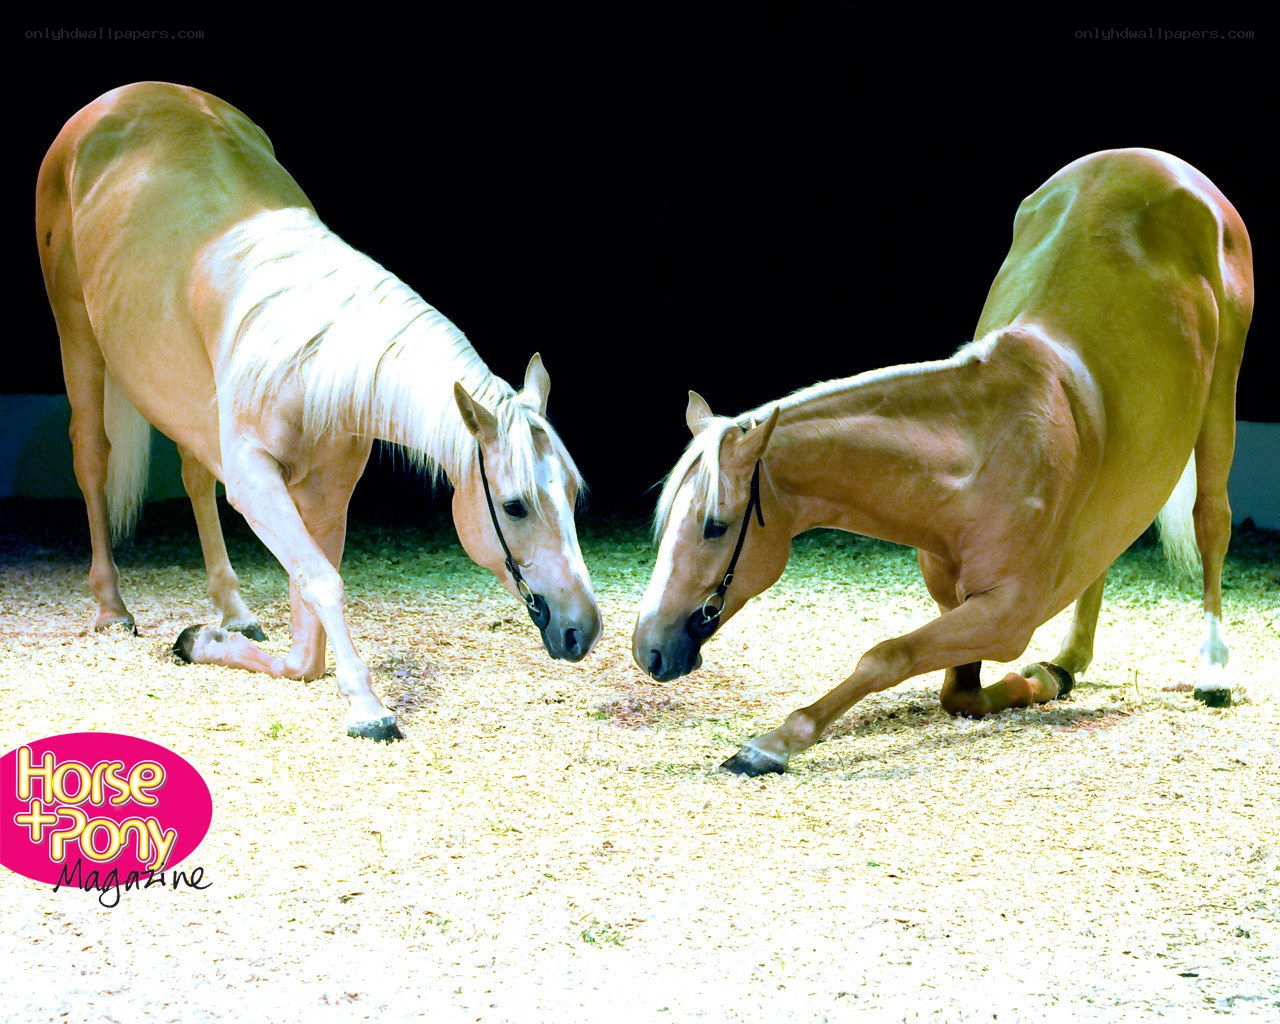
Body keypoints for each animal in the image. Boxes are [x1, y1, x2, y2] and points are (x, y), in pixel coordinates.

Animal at [36, 82, 601, 742]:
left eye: (573, 494)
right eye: (514, 506)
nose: (583, 629)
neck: (310, 353)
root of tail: (118, 99)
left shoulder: (326, 493)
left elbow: (307, 641)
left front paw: (204, 640)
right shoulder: (257, 482)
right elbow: (323, 584)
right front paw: (368, 708)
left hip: (183, 400)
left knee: (195, 479)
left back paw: (231, 609)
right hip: (78, 339)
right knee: (91, 461)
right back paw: (110, 606)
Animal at [633, 148, 1253, 776]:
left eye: (714, 527)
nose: (647, 648)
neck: (978, 458)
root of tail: (1159, 162)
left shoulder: (1007, 614)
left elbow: (886, 655)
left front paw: (775, 742)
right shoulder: (957, 603)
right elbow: (958, 694)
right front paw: (1040, 681)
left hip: (1221, 396)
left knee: (1211, 522)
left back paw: (1213, 670)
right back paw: (1069, 660)